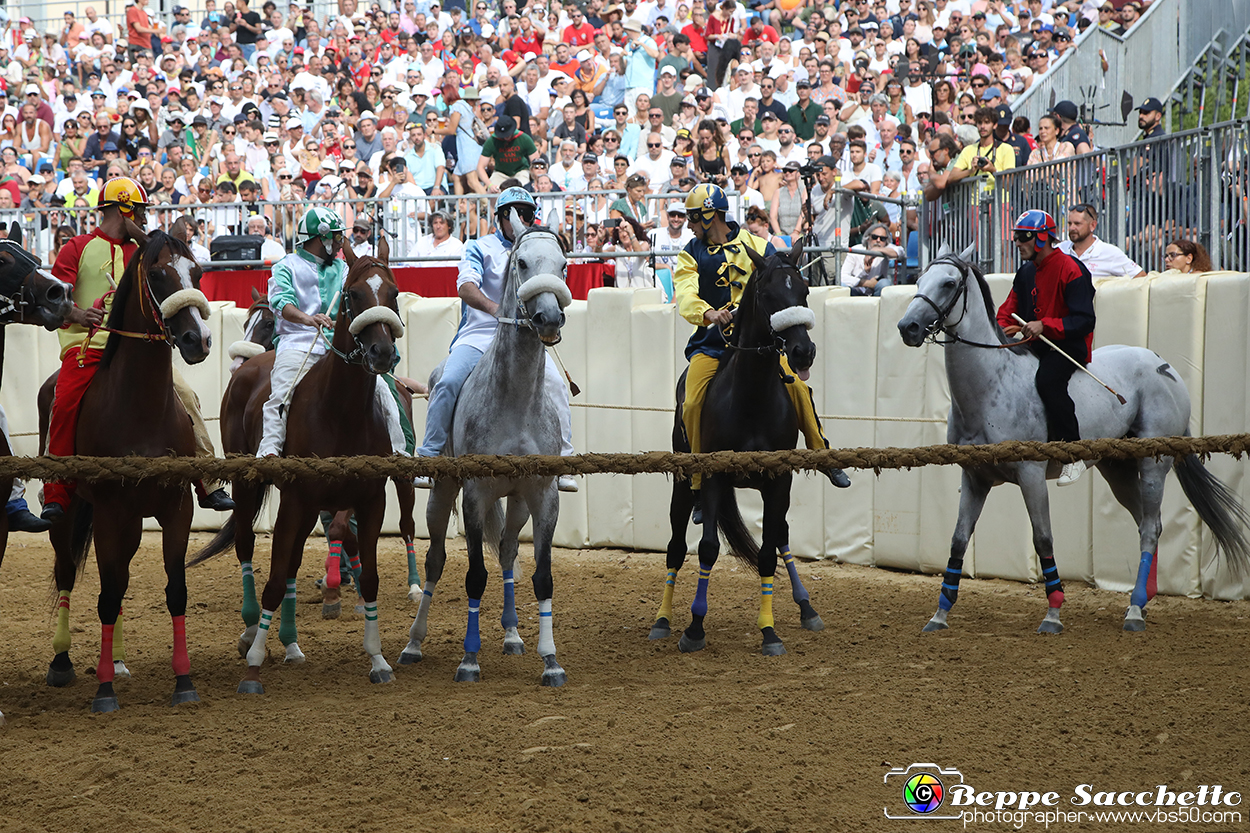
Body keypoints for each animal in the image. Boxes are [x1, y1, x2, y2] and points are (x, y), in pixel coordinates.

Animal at [190, 233, 407, 685]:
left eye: (393, 293)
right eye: (353, 294)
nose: (380, 351)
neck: (341, 410)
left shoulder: (369, 501)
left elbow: (369, 578)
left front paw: (378, 659)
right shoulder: (296, 500)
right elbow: (273, 579)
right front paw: (255, 661)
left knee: (289, 564)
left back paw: (290, 644)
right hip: (250, 485)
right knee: (247, 546)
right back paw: (252, 631)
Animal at [400, 211, 572, 685]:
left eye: (563, 265)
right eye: (523, 263)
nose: (549, 317)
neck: (514, 402)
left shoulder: (543, 496)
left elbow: (542, 577)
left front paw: (550, 660)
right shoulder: (475, 494)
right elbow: (474, 576)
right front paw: (469, 660)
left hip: (516, 501)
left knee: (510, 552)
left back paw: (512, 635)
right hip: (443, 493)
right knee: (436, 560)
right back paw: (413, 643)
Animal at [650, 241, 825, 655]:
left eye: (804, 291)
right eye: (768, 295)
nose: (803, 351)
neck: (752, 398)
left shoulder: (779, 481)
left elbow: (767, 553)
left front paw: (769, 631)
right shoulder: (714, 478)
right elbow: (708, 549)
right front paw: (695, 627)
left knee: (781, 536)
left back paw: (806, 607)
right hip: (683, 485)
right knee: (675, 547)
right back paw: (662, 620)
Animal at [900, 243, 1250, 632]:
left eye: (948, 283)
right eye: (920, 280)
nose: (907, 327)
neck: (993, 383)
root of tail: (1164, 367)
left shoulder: (1031, 475)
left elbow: (1043, 538)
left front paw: (1053, 613)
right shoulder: (975, 478)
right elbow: (959, 540)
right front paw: (940, 613)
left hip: (1152, 464)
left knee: (1149, 528)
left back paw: (1134, 610)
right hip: (1118, 469)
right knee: (1149, 522)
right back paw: (1143, 598)